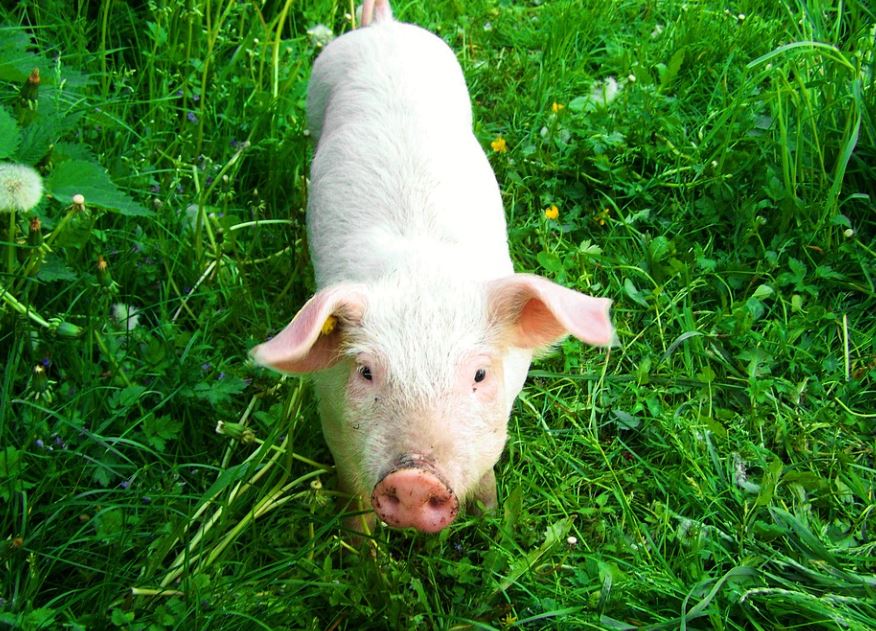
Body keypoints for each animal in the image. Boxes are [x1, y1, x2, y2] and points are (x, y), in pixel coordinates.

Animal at [251, 0, 614, 534]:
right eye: (366, 371)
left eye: (479, 375)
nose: (415, 480)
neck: (421, 273)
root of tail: (382, 28)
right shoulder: (331, 412)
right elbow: (354, 494)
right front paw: (365, 554)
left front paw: (489, 516)